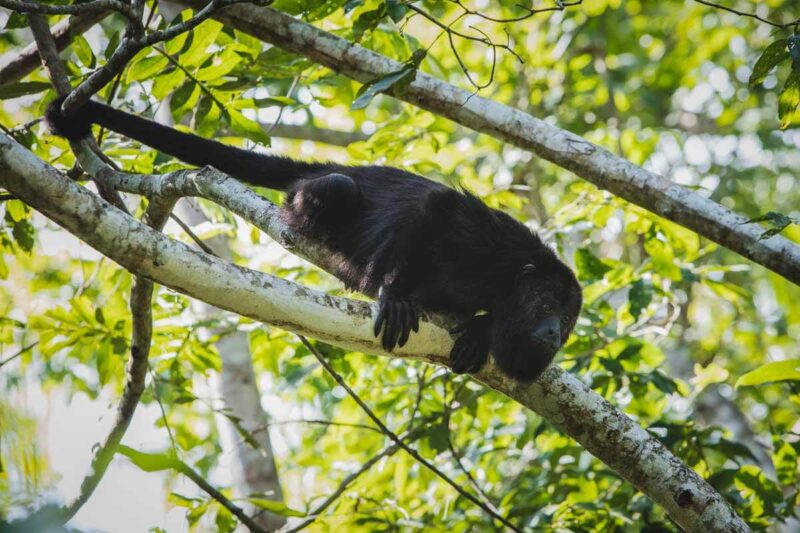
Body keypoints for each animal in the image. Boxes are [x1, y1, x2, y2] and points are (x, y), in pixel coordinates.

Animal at [45, 97, 580, 380]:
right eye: (545, 304)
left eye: (568, 319)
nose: (555, 334)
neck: (507, 281)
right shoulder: (489, 242)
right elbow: (435, 207)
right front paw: (393, 293)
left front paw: (480, 332)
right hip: (318, 191)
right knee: (339, 190)